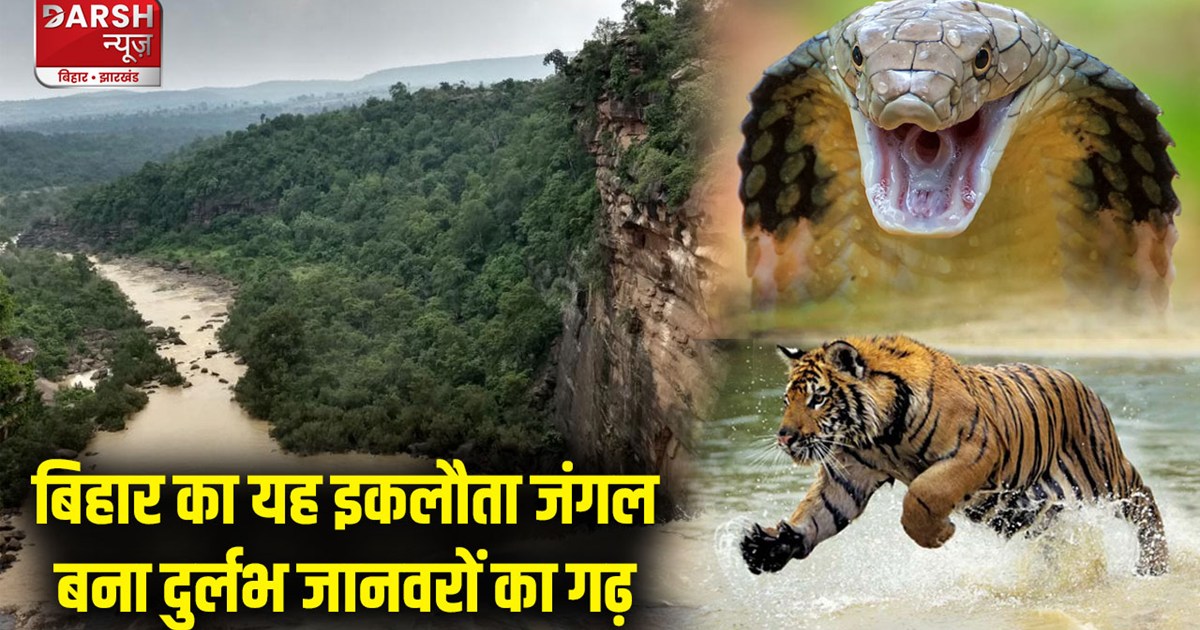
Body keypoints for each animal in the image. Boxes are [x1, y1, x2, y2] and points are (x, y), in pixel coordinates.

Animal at [741, 335, 1168, 576]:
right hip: (1023, 509)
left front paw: (938, 535)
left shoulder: (975, 451)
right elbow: (819, 513)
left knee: (1144, 498)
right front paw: (767, 547)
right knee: (1053, 535)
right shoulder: (849, 475)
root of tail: (1082, 383)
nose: (784, 438)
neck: (880, 436)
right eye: (787, 401)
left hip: (1100, 474)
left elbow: (923, 494)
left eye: (818, 398)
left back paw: (1153, 565)